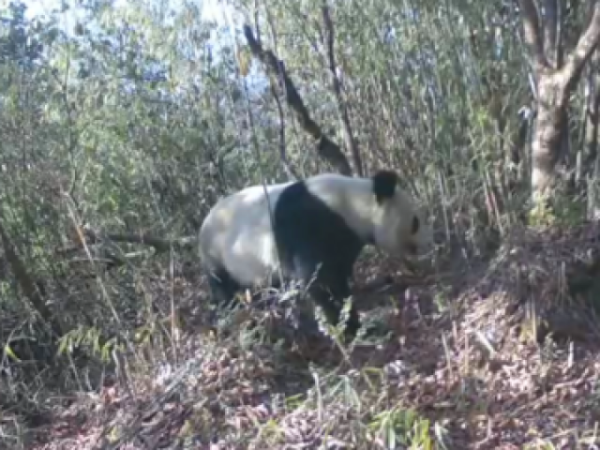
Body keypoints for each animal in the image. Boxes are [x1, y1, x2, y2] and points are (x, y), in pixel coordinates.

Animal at [198, 170, 432, 342]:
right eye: (415, 222)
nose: (427, 243)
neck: (351, 204)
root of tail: (204, 223)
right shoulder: (309, 225)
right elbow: (318, 280)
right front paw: (345, 328)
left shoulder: (343, 239)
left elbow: (339, 278)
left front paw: (354, 322)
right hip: (218, 254)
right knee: (224, 291)